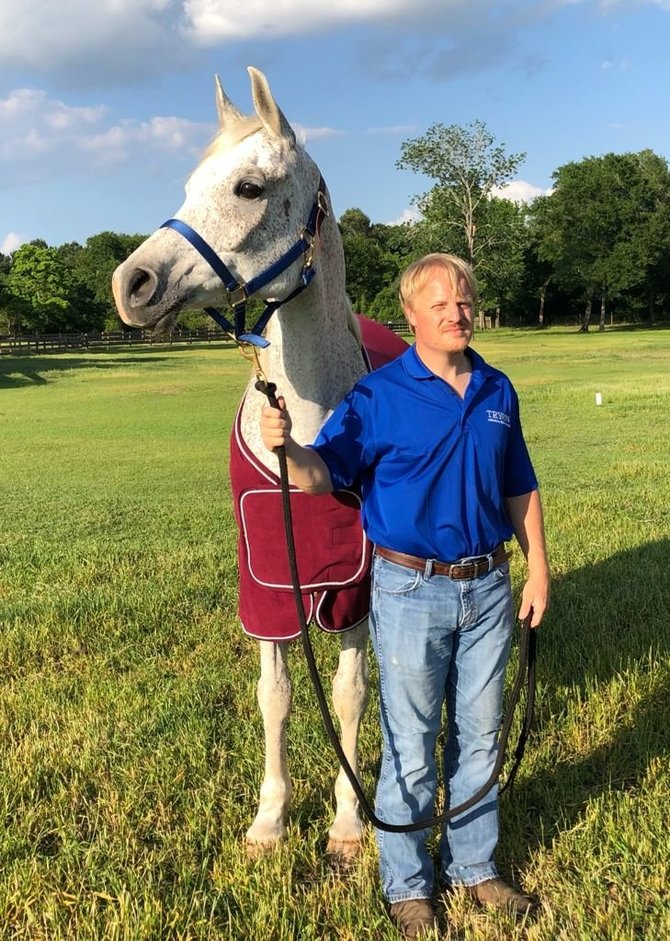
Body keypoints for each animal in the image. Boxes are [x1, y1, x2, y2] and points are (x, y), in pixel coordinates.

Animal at [113, 66, 402, 860]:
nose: (131, 284)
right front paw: (271, 819)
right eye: (189, 184)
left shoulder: (351, 590)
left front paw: (347, 821)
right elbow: (276, 695)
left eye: (248, 187)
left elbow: (349, 695)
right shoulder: (269, 585)